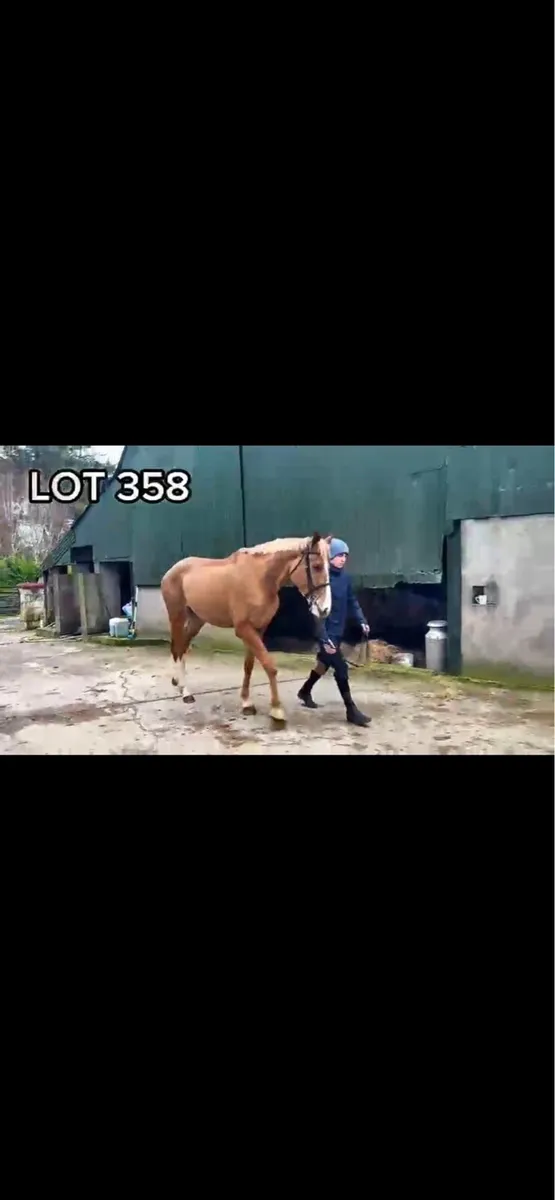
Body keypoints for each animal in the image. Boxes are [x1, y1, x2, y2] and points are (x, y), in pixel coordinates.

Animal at [161, 533, 332, 725]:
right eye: (317, 566)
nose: (325, 609)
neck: (259, 580)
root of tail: (173, 569)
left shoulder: (259, 629)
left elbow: (249, 665)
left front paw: (246, 702)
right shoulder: (244, 629)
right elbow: (269, 665)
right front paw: (276, 709)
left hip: (197, 619)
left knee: (182, 645)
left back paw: (178, 682)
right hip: (177, 616)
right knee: (177, 646)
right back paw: (185, 692)